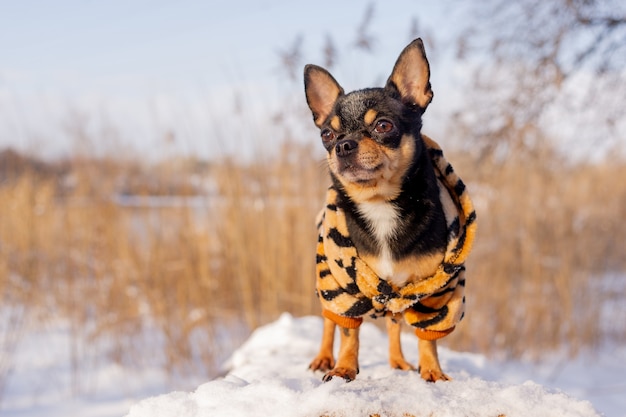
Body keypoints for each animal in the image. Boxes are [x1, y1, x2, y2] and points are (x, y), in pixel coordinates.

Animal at [302, 37, 472, 382]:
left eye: (383, 125)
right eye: (327, 134)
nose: (343, 145)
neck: (380, 205)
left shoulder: (440, 291)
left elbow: (428, 337)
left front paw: (432, 372)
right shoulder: (344, 287)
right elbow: (348, 331)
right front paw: (343, 368)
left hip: (401, 294)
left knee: (394, 321)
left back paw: (397, 360)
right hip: (326, 277)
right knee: (329, 321)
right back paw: (324, 358)